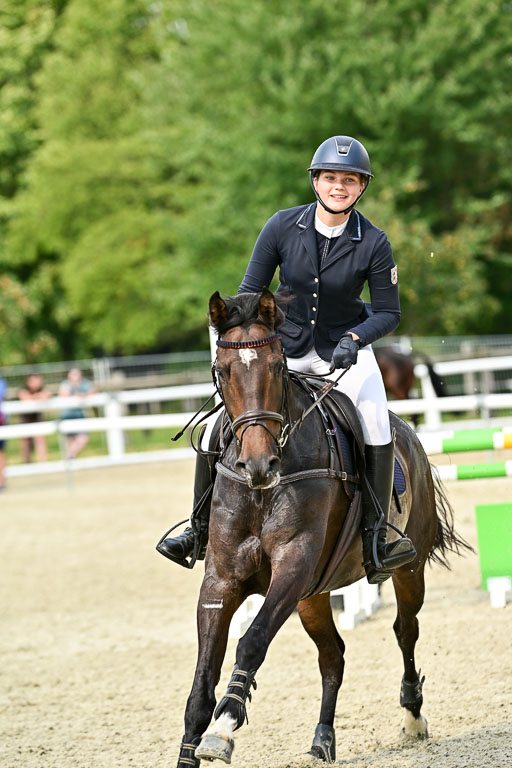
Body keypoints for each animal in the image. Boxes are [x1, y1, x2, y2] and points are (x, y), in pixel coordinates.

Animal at [174, 288, 469, 768]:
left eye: (277, 367)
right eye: (222, 371)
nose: (258, 466)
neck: (264, 489)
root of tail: (407, 430)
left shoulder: (293, 568)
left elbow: (252, 642)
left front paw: (223, 728)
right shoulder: (222, 580)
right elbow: (203, 677)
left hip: (407, 570)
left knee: (405, 630)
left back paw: (412, 717)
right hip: (313, 595)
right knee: (333, 657)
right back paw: (322, 740)